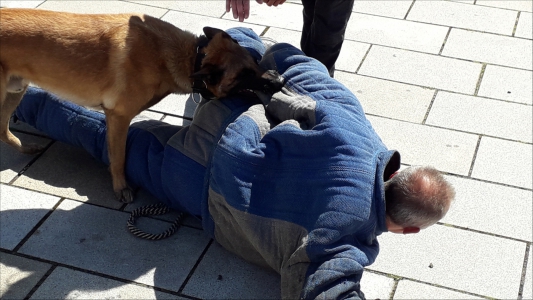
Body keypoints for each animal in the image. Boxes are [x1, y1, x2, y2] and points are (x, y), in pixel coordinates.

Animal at [0, 8, 284, 202]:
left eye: (255, 61)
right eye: (243, 76)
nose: (279, 81)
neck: (191, 55)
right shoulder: (118, 117)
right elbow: (119, 157)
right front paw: (120, 186)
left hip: (16, 92)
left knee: (2, 132)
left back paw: (25, 148)